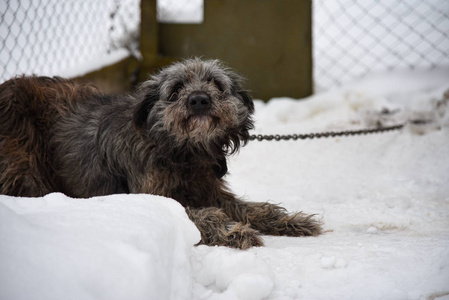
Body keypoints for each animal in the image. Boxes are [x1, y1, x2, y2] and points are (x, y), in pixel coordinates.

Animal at [0, 58, 322, 248]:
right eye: (177, 88)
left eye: (216, 84)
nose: (199, 100)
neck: (181, 151)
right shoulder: (152, 195)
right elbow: (199, 214)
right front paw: (232, 230)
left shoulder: (209, 189)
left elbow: (252, 208)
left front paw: (290, 221)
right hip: (24, 160)